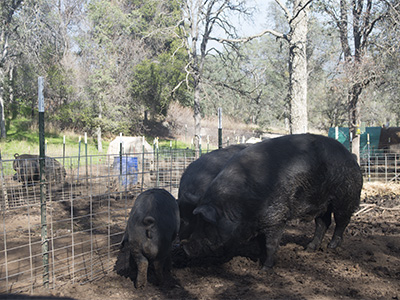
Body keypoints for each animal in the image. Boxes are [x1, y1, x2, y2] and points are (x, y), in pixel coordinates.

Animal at [183, 134, 364, 270]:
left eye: (207, 224)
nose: (186, 248)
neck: (238, 206)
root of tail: (351, 156)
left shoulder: (276, 217)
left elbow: (271, 243)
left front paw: (265, 269)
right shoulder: (257, 223)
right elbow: (260, 243)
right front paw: (257, 260)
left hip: (346, 196)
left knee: (342, 221)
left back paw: (331, 247)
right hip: (321, 203)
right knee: (323, 223)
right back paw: (309, 248)